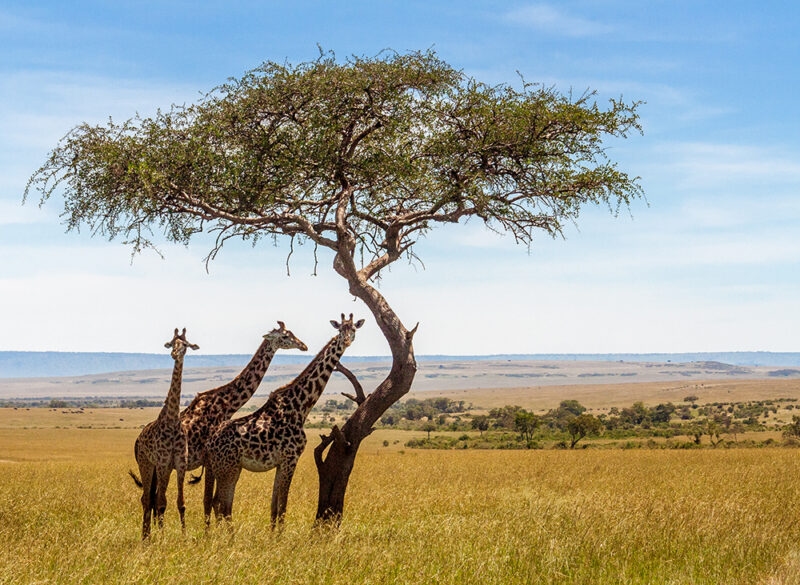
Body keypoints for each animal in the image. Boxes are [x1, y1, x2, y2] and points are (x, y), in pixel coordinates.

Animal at [131, 328, 199, 539]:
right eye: (171, 343)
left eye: (185, 345)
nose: (175, 354)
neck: (172, 421)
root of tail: (138, 440)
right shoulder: (161, 462)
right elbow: (161, 503)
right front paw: (161, 539)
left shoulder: (179, 463)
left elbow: (180, 503)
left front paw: (184, 537)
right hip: (146, 464)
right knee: (147, 499)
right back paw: (146, 537)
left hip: (163, 469)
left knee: (153, 498)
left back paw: (148, 535)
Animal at [203, 313, 364, 528]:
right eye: (340, 330)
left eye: (353, 329)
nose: (346, 341)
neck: (301, 406)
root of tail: (209, 443)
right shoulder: (291, 458)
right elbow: (283, 505)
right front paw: (281, 535)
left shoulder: (280, 463)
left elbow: (274, 506)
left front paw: (273, 534)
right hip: (226, 467)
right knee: (220, 504)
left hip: (227, 467)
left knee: (219, 503)